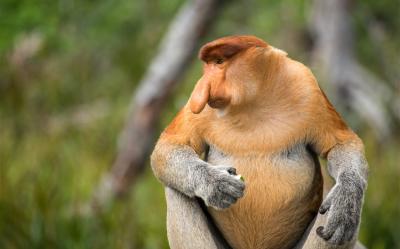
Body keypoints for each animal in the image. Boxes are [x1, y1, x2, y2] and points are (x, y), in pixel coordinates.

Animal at [151, 35, 368, 249]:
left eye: (219, 62)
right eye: (208, 65)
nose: (202, 87)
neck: (254, 101)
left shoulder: (308, 86)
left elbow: (341, 143)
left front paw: (345, 201)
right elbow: (169, 145)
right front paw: (216, 183)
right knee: (176, 192)